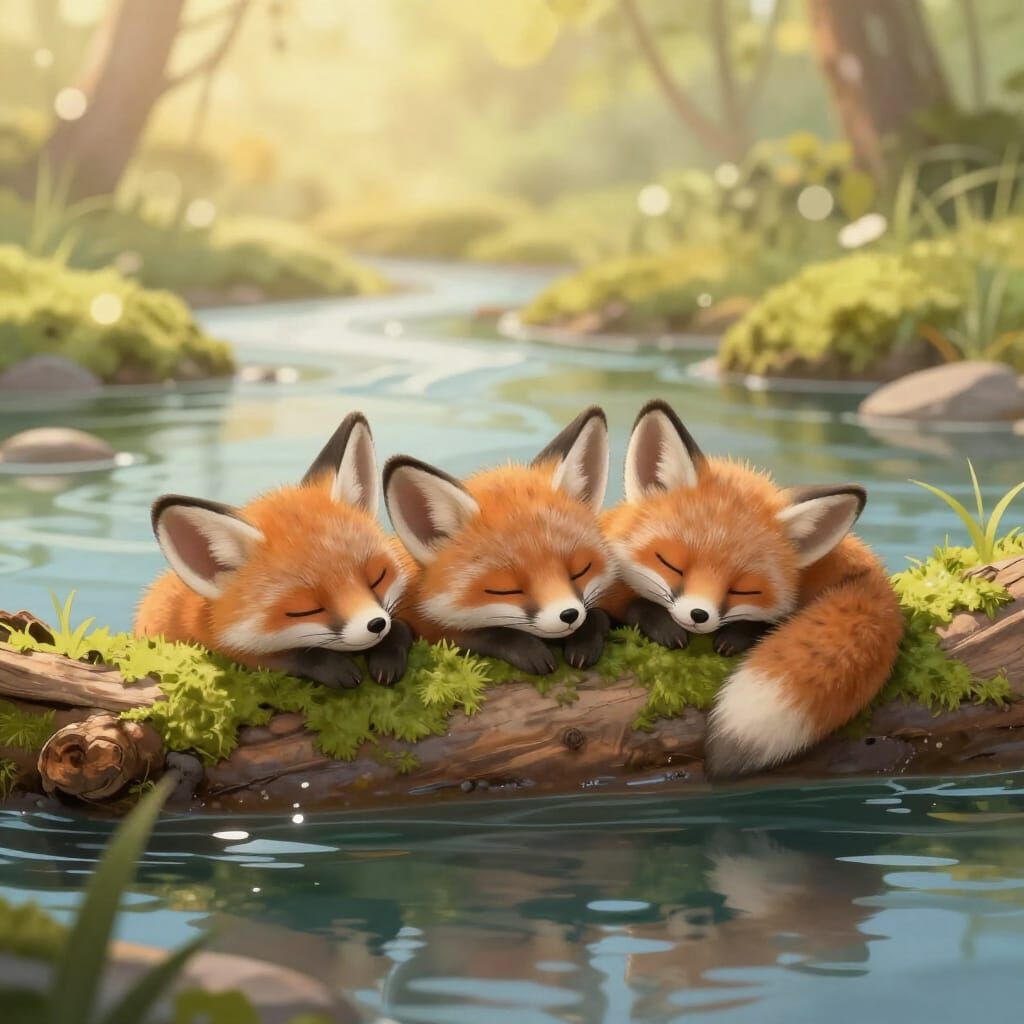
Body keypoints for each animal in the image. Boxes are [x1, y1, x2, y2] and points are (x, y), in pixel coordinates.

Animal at [134, 412, 413, 689]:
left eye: (377, 577)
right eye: (305, 610)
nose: (375, 623)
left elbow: (401, 628)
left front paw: (388, 655)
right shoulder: (226, 647)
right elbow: (289, 656)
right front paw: (333, 666)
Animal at [383, 406, 617, 675]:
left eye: (580, 571)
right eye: (505, 589)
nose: (568, 614)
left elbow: (597, 616)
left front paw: (584, 641)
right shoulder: (432, 627)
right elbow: (486, 634)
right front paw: (529, 650)